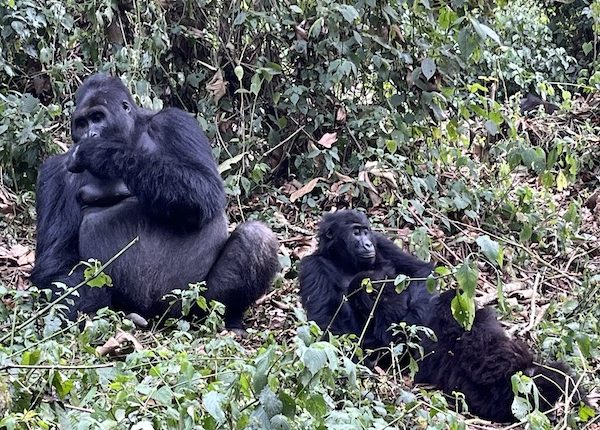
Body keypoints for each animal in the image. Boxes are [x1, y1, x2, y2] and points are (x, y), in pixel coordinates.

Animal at [29, 74, 278, 330]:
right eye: (81, 124)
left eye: (97, 118)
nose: (90, 135)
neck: (132, 134)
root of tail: (156, 318)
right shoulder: (55, 172)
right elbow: (56, 263)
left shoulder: (176, 122)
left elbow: (205, 188)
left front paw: (102, 152)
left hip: (192, 302)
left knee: (255, 239)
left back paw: (231, 318)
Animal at [300, 210, 584, 422]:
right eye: (354, 232)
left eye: (365, 231)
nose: (366, 243)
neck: (341, 259)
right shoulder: (312, 268)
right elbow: (333, 333)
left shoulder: (383, 244)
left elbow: (423, 276)